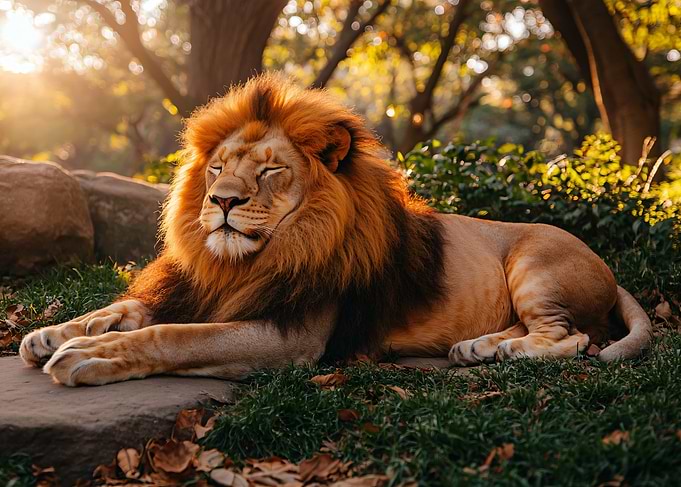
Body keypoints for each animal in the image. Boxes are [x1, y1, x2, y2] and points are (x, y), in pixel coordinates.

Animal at [20, 74, 652, 386]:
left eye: (270, 171)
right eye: (218, 169)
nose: (221, 201)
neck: (240, 261)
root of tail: (607, 266)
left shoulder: (290, 334)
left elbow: (173, 336)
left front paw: (86, 356)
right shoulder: (198, 286)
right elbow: (123, 309)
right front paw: (52, 333)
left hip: (536, 265)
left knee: (573, 339)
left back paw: (503, 352)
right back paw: (480, 347)